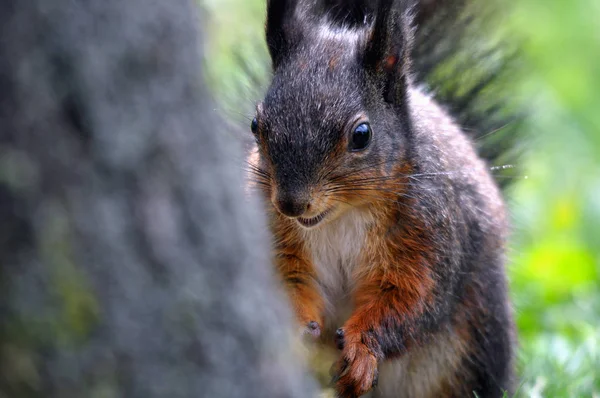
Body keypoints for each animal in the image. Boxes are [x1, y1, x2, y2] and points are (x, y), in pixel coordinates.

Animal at [247, 0, 516, 398]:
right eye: (255, 125)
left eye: (362, 134)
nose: (291, 204)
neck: (342, 215)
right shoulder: (270, 225)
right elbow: (284, 280)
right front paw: (292, 329)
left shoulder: (429, 232)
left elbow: (408, 300)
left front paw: (362, 350)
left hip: (474, 347)